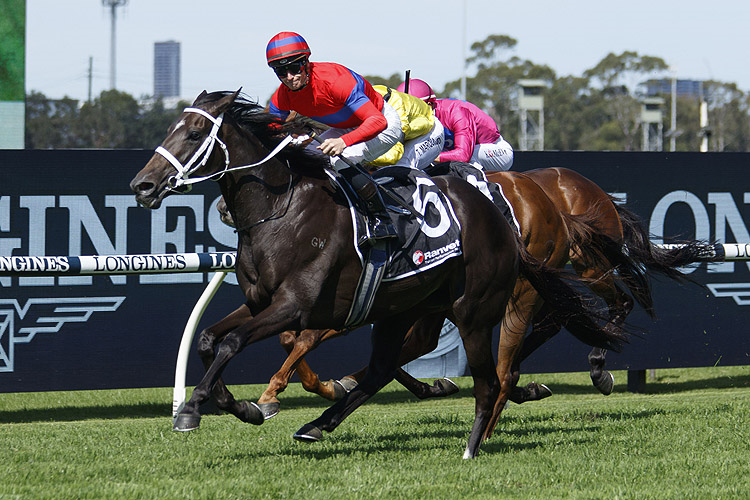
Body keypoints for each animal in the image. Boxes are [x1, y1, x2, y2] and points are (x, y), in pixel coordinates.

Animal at [131, 90, 628, 458]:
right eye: (171, 129)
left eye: (195, 132)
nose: (142, 185)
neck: (282, 210)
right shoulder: (262, 303)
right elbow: (209, 339)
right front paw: (236, 404)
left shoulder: (298, 306)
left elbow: (237, 342)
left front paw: (203, 406)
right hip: (406, 307)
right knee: (386, 365)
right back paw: (322, 421)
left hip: (487, 305)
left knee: (498, 371)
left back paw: (479, 437)